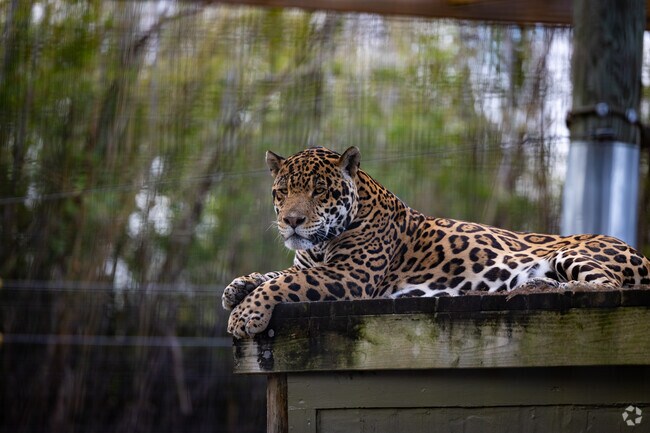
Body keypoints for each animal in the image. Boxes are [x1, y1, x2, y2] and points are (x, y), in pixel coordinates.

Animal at [223, 146, 650, 338]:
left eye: (318, 191)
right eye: (282, 192)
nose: (291, 221)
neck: (318, 246)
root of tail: (640, 254)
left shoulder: (347, 275)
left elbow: (286, 283)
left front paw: (245, 315)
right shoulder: (314, 264)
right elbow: (276, 274)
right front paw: (238, 286)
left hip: (574, 252)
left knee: (607, 284)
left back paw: (551, 287)